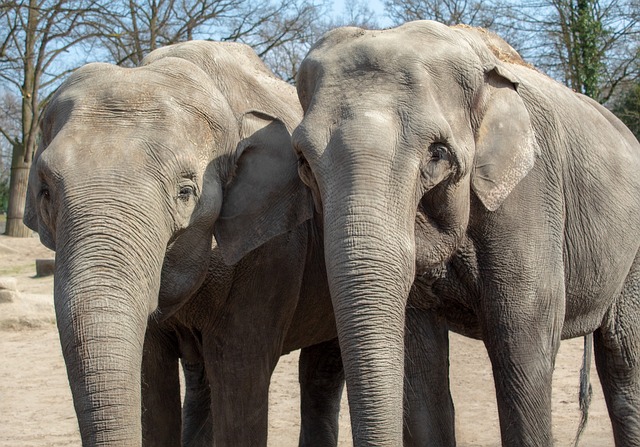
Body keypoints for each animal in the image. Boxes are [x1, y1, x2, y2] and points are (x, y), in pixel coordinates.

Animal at [292, 19, 640, 446]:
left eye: (437, 154)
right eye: (303, 162)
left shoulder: (531, 195)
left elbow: (523, 340)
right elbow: (420, 361)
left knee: (623, 358)